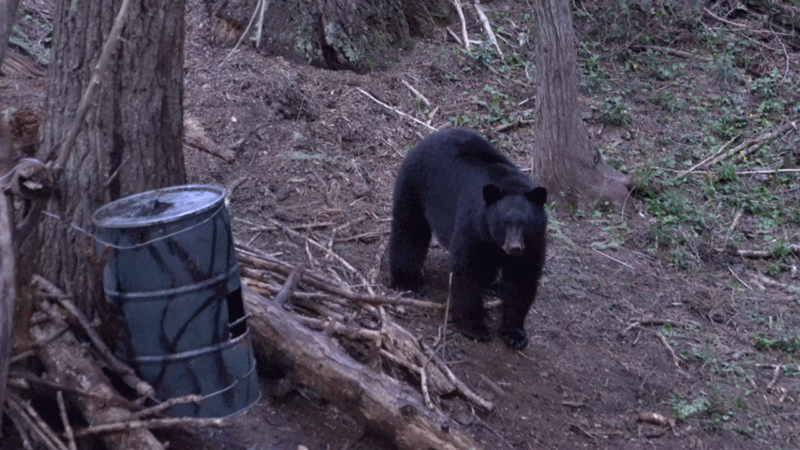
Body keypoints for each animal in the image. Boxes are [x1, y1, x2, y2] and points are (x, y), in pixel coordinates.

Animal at [390, 128, 552, 350]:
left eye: (526, 222)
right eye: (504, 221)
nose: (515, 248)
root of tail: (432, 135)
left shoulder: (534, 242)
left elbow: (522, 277)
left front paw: (515, 333)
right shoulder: (473, 226)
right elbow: (468, 270)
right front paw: (475, 327)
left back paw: (493, 286)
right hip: (415, 184)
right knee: (409, 230)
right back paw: (406, 282)